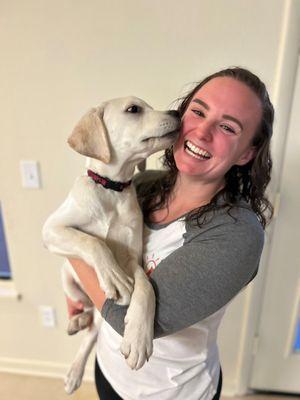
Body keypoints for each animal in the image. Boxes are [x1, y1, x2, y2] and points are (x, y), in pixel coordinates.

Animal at [41, 97, 179, 394]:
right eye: (133, 109)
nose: (177, 113)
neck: (111, 189)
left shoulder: (131, 257)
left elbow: (145, 287)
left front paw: (138, 338)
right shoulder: (52, 228)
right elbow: (92, 241)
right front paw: (114, 277)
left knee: (94, 327)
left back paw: (76, 364)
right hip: (68, 278)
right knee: (86, 312)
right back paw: (76, 324)